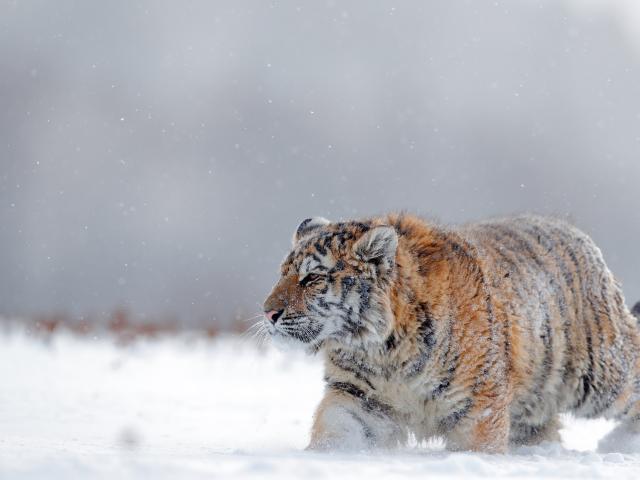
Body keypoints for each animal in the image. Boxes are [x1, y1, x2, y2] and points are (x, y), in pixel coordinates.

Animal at [262, 213, 640, 453]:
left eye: (311, 278)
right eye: (282, 273)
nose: (268, 313)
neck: (381, 351)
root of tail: (581, 238)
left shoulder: (478, 406)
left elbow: (479, 448)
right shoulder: (358, 396)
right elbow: (336, 432)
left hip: (602, 376)